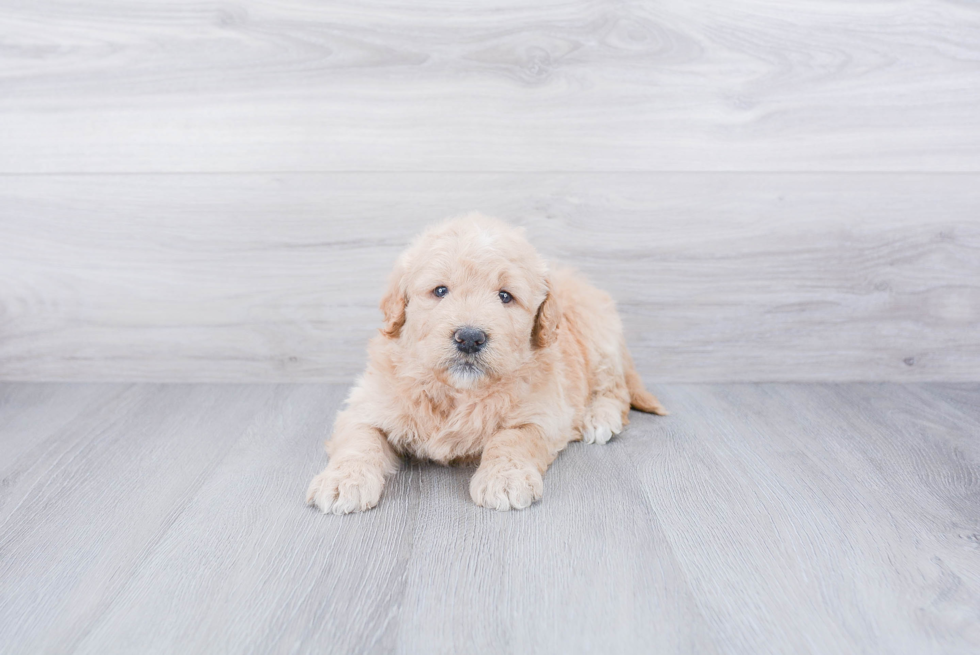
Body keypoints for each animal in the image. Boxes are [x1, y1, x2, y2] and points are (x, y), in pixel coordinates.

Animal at [308, 214, 668, 512]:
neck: (457, 391)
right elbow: (360, 440)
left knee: (616, 388)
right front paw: (343, 480)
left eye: (505, 296)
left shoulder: (543, 414)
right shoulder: (367, 404)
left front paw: (504, 479)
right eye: (440, 291)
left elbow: (511, 439)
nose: (469, 337)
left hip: (600, 335)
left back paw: (599, 417)